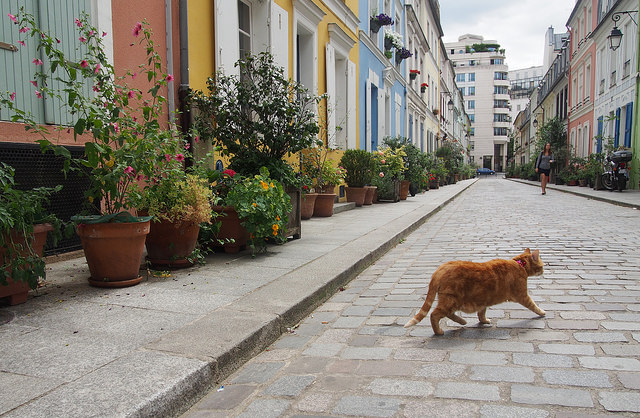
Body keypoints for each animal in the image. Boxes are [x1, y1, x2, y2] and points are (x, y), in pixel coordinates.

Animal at [404, 248, 544, 336]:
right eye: (542, 266)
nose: (544, 271)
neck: (520, 264)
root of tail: (440, 269)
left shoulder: (484, 300)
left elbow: (481, 313)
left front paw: (484, 321)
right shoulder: (522, 295)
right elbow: (533, 305)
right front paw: (542, 312)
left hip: (451, 302)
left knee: (447, 314)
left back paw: (462, 321)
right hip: (451, 301)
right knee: (434, 314)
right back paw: (438, 331)